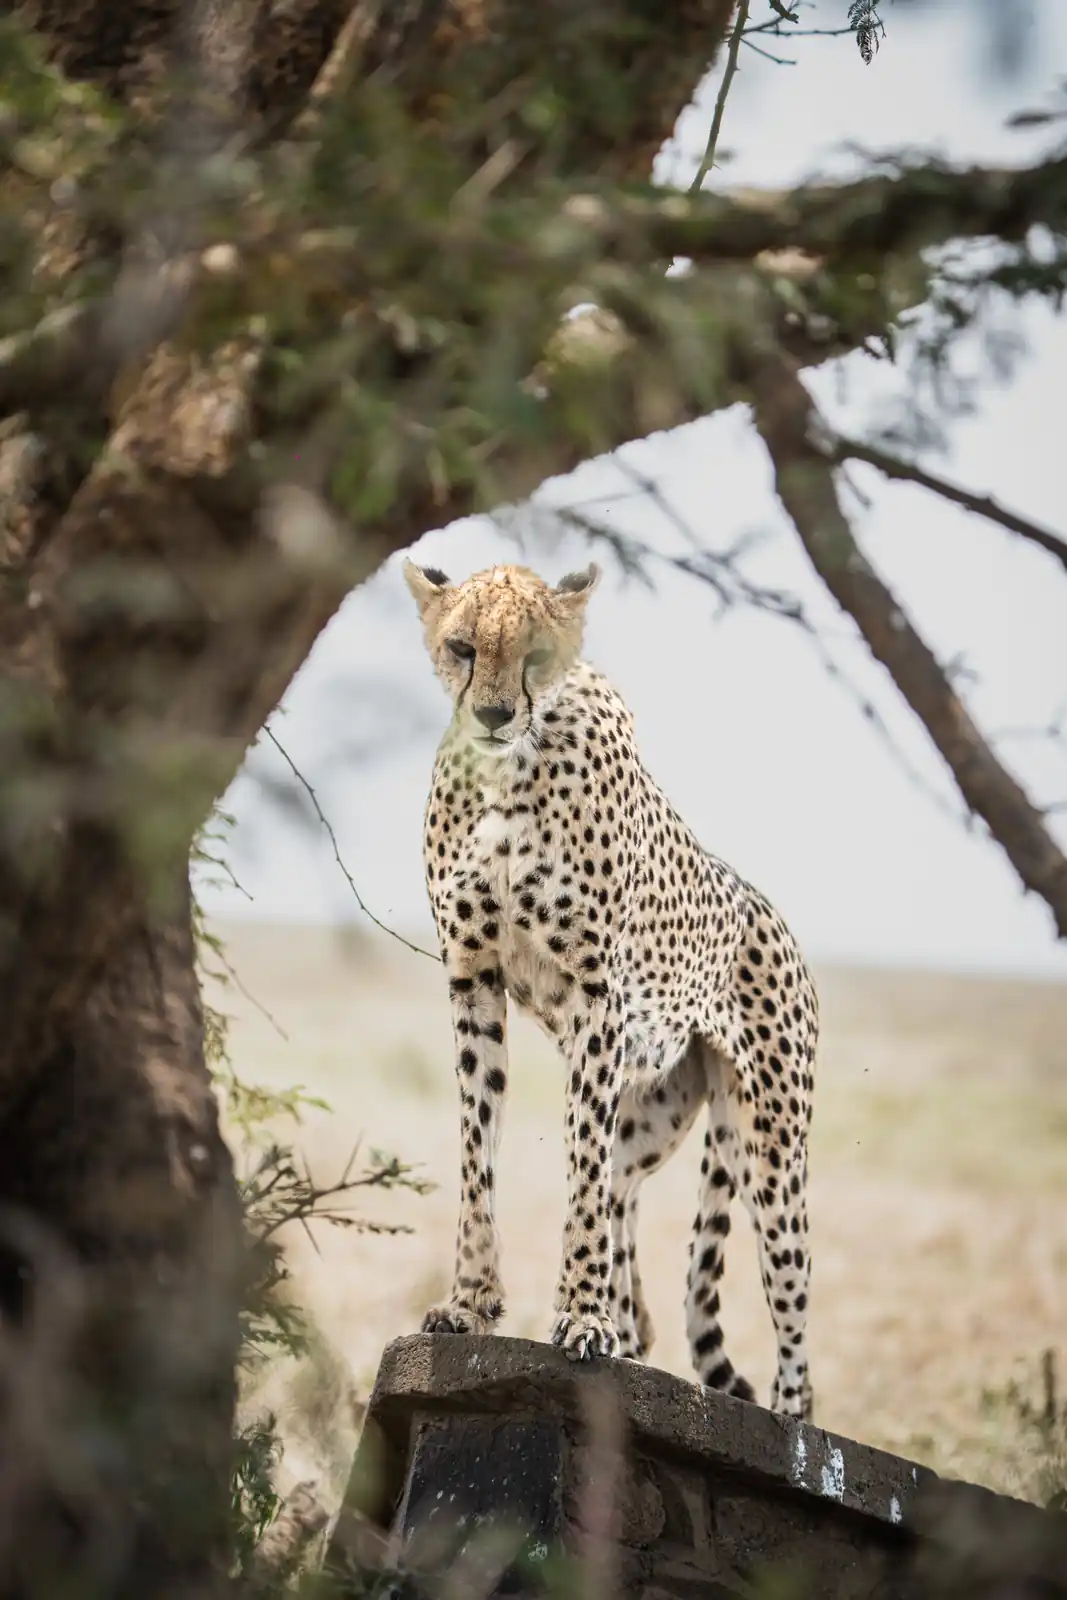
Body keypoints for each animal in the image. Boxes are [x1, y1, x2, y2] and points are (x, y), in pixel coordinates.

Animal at [403, 557, 818, 1417]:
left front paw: (582, 1317)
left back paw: (788, 1420)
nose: (492, 714)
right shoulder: (472, 978)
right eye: (461, 646)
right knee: (628, 1218)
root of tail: (768, 913)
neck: (508, 770)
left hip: (771, 1151)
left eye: (534, 654)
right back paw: (630, 1333)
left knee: (794, 1320)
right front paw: (470, 1302)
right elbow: (477, 1151)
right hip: (652, 1121)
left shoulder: (596, 995)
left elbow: (580, 1178)